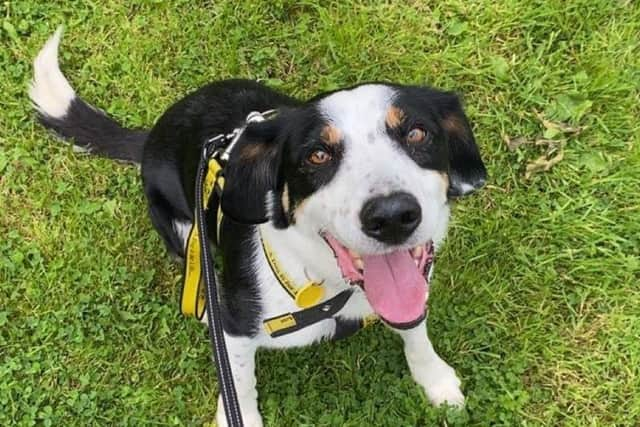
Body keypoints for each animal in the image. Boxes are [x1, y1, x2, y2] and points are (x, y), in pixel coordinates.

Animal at [30, 28, 484, 426]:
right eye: (317, 155)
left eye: (417, 133)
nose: (390, 216)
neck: (330, 283)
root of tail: (152, 136)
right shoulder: (236, 326)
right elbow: (239, 380)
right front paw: (241, 415)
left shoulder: (413, 290)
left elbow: (415, 329)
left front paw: (435, 380)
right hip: (181, 226)